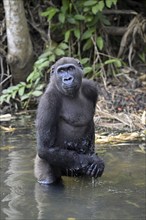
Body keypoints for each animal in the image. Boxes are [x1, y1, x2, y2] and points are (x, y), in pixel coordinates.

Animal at [34, 56, 104, 184]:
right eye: (61, 71)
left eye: (70, 69)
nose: (67, 79)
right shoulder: (48, 101)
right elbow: (45, 147)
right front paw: (92, 160)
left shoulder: (91, 88)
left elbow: (90, 124)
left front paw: (94, 158)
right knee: (48, 176)